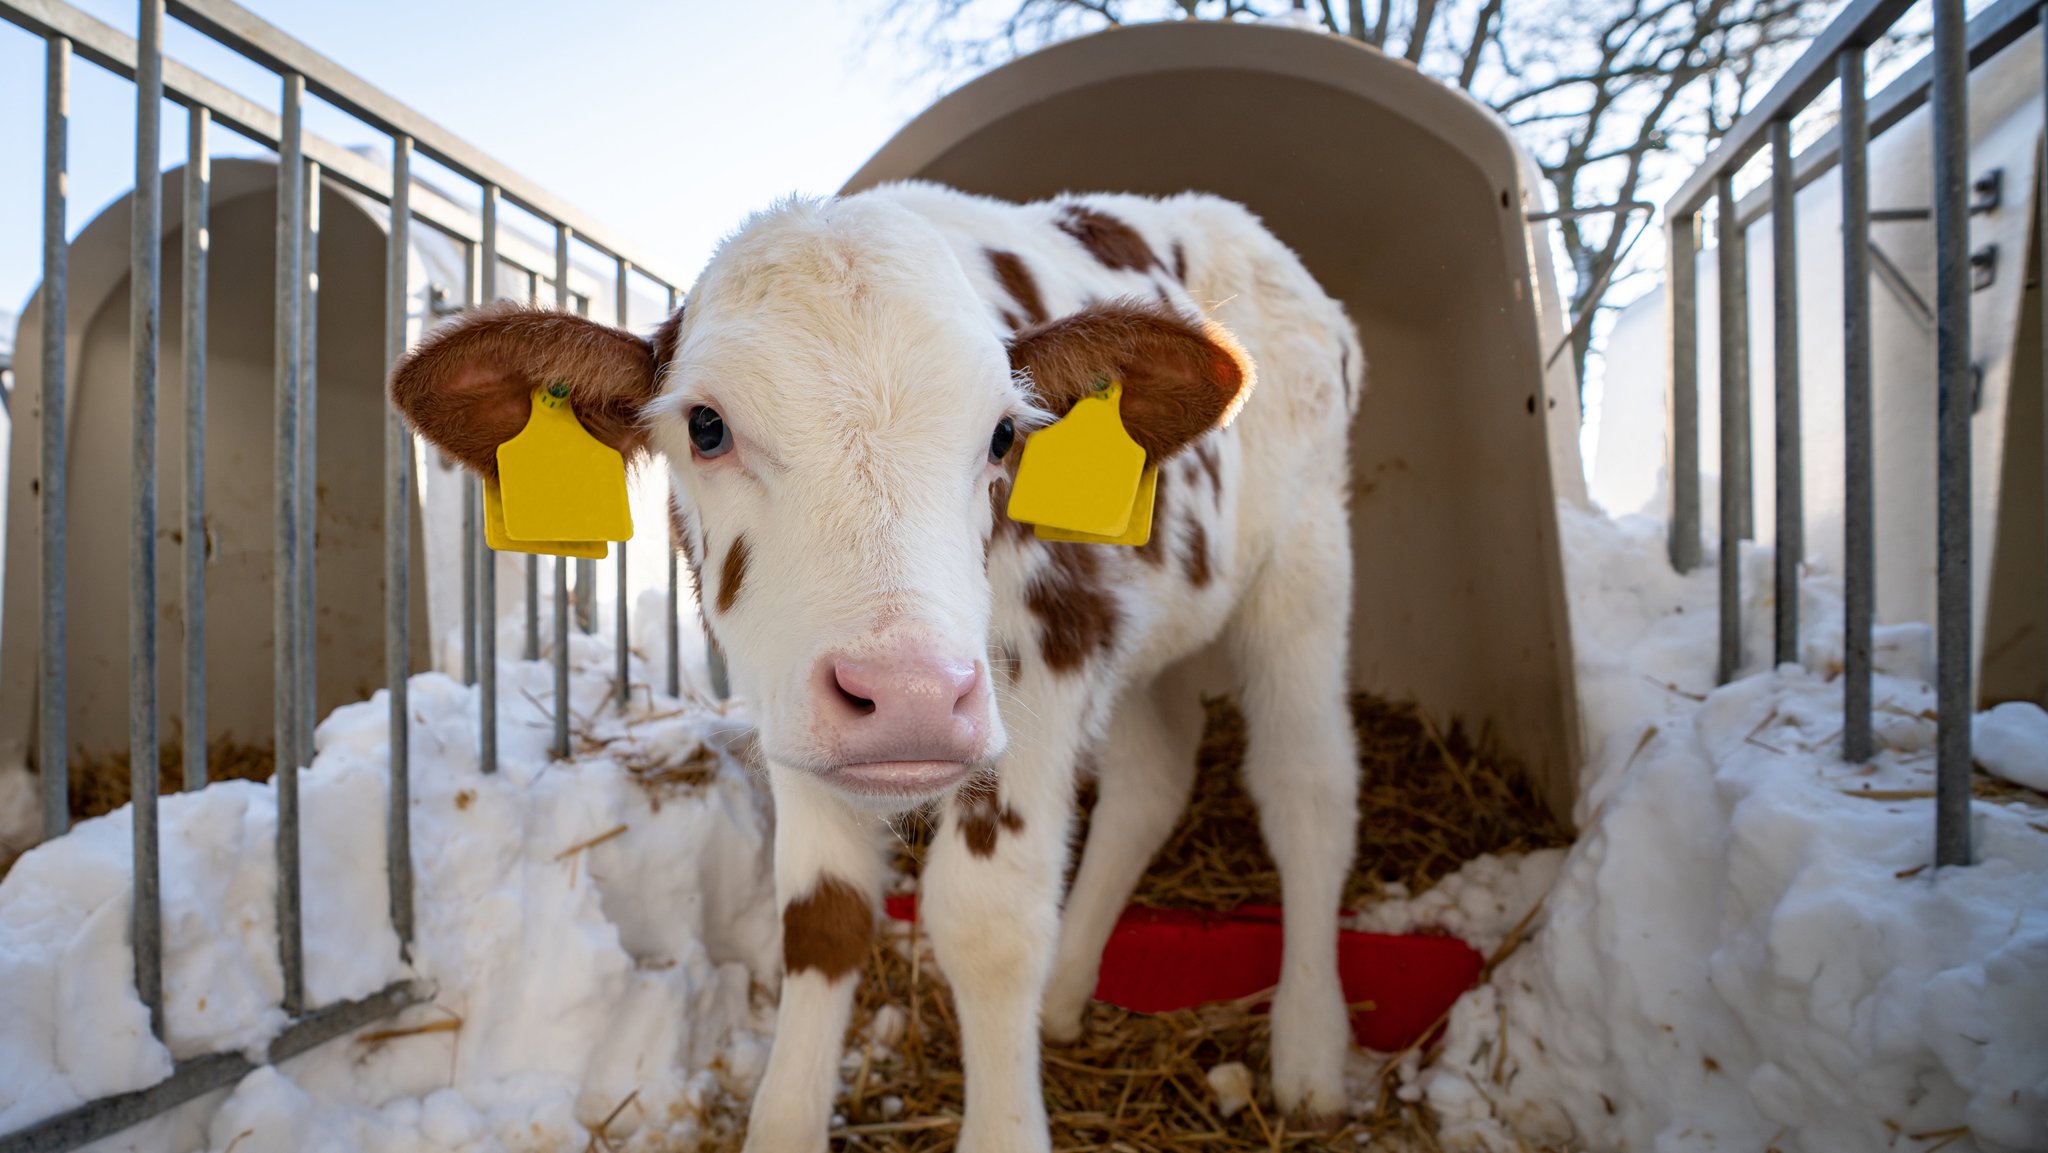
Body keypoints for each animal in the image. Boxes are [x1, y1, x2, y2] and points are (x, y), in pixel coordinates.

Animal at [391, 182, 1368, 1153]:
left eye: (1004, 433)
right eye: (706, 426)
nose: (912, 697)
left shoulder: (1046, 666)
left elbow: (988, 922)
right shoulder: (788, 709)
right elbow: (821, 913)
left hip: (1306, 560)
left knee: (1307, 785)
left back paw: (1311, 1052)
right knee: (1153, 776)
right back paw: (1065, 995)